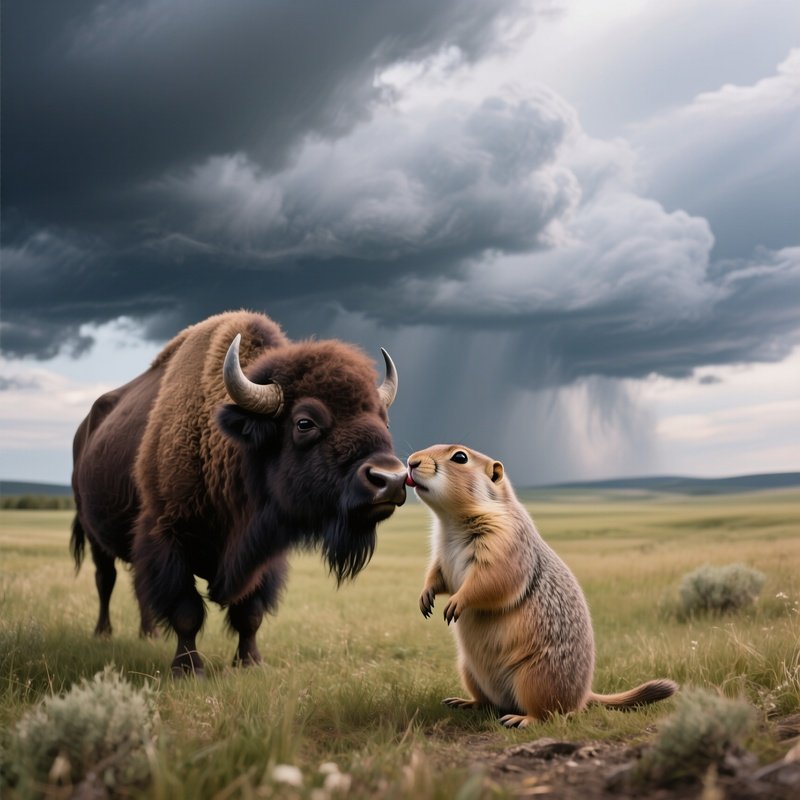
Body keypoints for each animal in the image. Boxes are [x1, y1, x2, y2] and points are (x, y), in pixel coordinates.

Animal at [71, 310, 407, 675]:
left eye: (385, 421)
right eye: (305, 422)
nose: (391, 478)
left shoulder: (263, 552)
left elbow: (250, 613)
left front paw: (250, 663)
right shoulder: (168, 537)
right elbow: (186, 611)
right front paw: (188, 669)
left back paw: (149, 635)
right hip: (94, 535)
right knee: (106, 579)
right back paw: (103, 633)